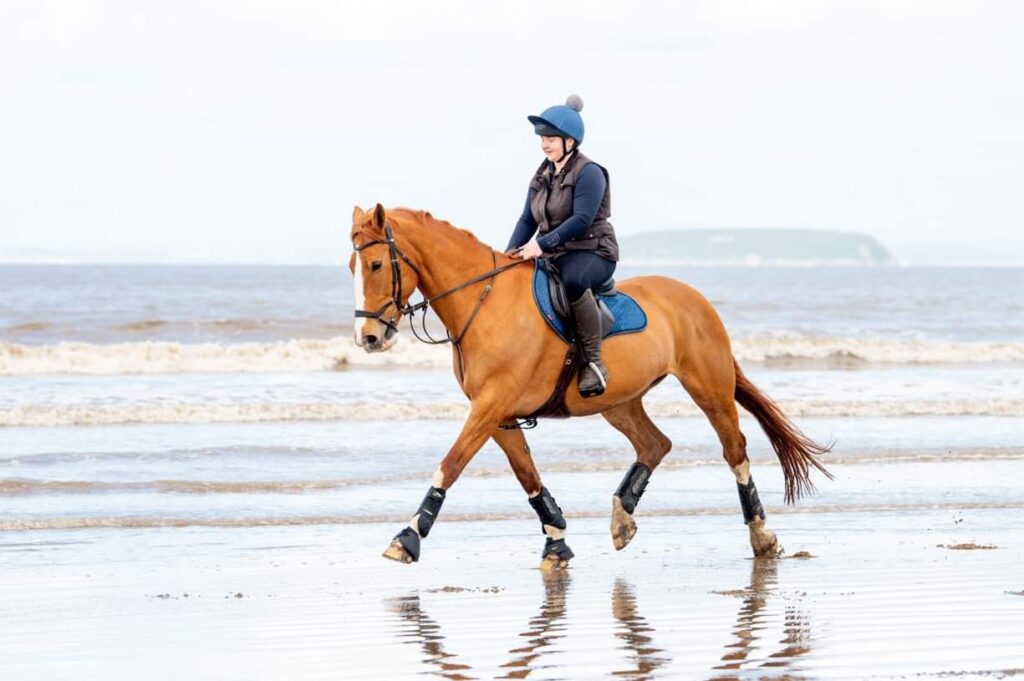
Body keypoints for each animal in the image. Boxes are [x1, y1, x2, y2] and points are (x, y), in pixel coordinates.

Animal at [352, 201, 831, 569]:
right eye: (352, 266)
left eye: (375, 264)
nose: (368, 338)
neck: (483, 302)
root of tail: (695, 297)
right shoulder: (499, 415)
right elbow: (527, 476)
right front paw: (556, 542)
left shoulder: (490, 406)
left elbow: (450, 464)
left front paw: (407, 537)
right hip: (619, 401)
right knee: (655, 443)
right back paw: (623, 518)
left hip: (708, 388)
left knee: (735, 450)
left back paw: (762, 536)